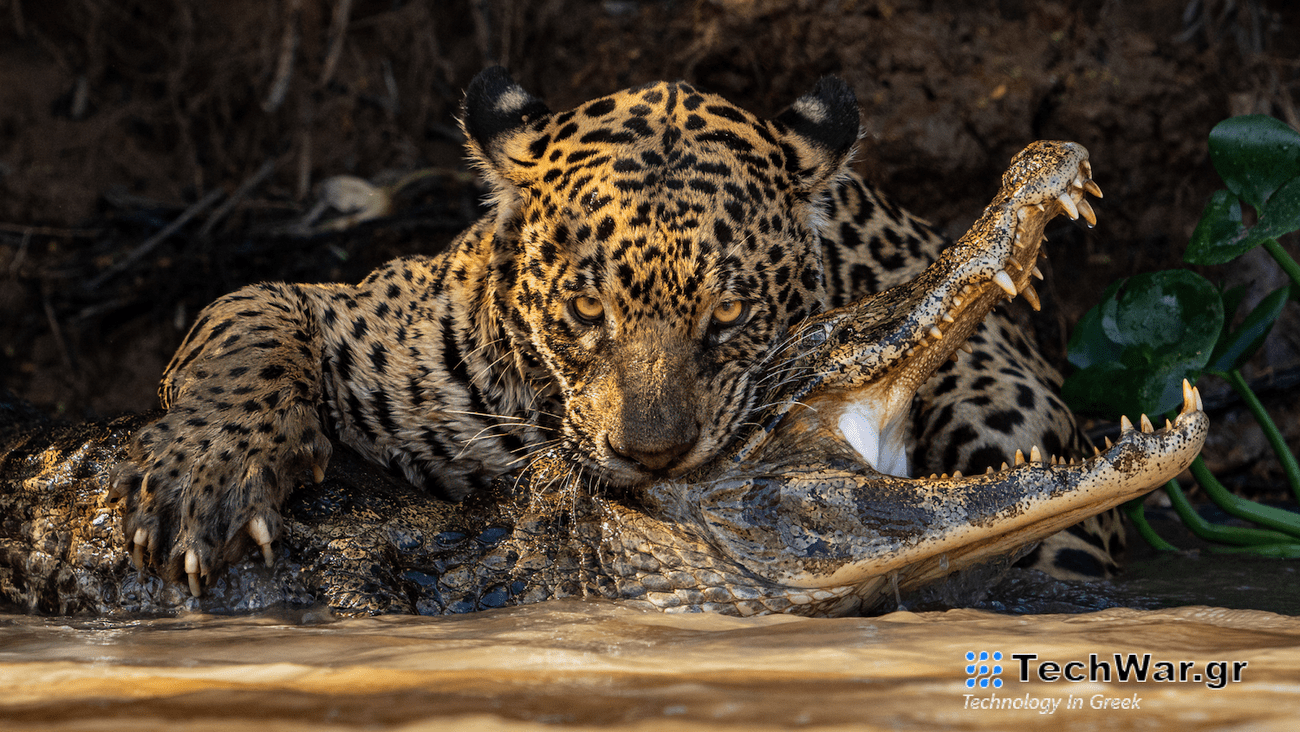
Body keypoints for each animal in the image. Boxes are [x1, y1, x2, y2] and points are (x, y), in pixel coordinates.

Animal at [110, 66, 1119, 596]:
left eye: (729, 313)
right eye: (587, 309)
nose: (654, 456)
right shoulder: (356, 314)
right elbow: (250, 325)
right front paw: (205, 481)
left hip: (1003, 398)